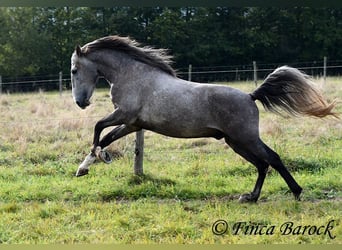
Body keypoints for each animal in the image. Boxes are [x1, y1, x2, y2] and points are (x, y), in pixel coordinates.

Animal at [70, 35, 336, 203]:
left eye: (73, 70)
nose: (81, 103)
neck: (132, 75)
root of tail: (251, 96)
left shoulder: (124, 115)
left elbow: (98, 128)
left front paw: (95, 159)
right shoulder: (132, 123)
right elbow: (105, 137)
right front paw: (86, 167)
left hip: (246, 137)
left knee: (272, 159)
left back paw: (296, 192)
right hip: (235, 141)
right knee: (262, 164)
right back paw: (251, 197)